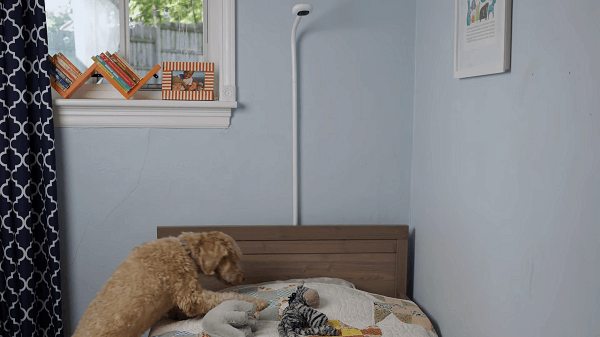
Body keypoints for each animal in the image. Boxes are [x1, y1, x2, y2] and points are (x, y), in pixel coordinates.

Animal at [72, 231, 268, 336]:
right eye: (232, 258)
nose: (243, 278)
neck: (185, 250)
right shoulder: (193, 297)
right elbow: (226, 296)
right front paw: (258, 302)